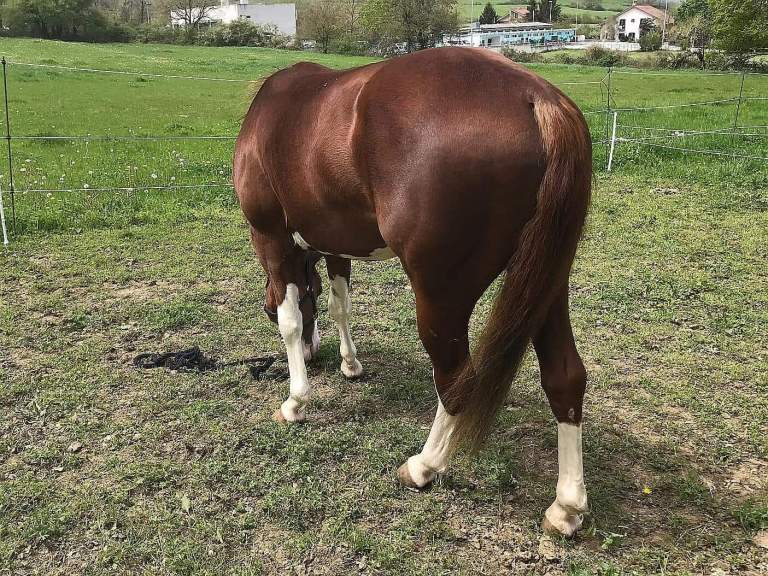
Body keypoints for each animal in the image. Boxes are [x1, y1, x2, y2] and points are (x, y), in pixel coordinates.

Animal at [233, 47, 592, 536]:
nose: (312, 354)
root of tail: (537, 98)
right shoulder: (336, 243)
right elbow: (340, 304)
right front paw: (350, 364)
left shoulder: (271, 238)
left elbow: (291, 319)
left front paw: (295, 401)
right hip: (548, 285)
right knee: (565, 377)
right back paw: (567, 506)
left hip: (441, 297)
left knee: (457, 380)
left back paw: (425, 465)